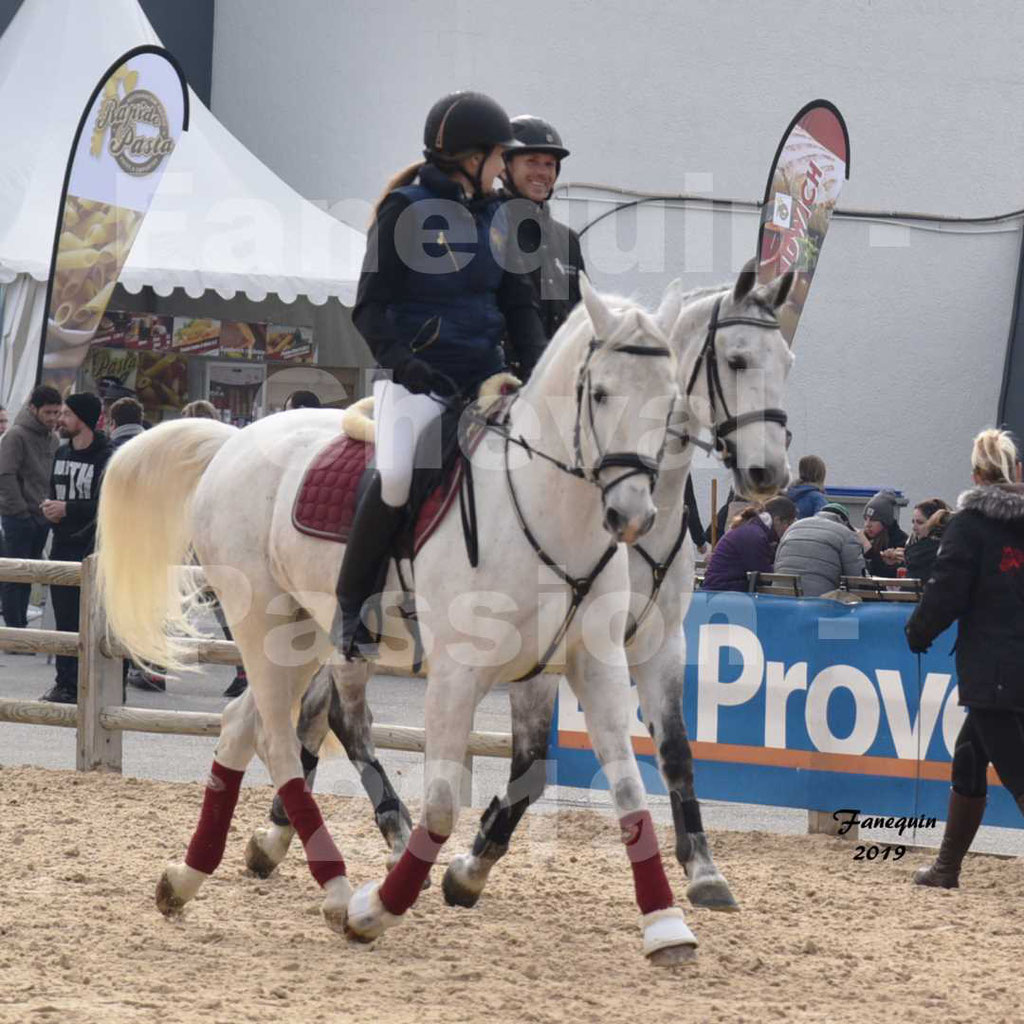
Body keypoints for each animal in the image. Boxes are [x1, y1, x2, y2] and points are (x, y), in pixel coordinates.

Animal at [96, 276, 704, 962]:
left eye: (672, 400)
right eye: (599, 393)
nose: (633, 516)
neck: (548, 514)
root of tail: (236, 440)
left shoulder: (591, 666)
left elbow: (626, 789)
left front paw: (666, 925)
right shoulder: (458, 677)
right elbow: (440, 808)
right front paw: (378, 908)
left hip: (306, 635)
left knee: (240, 726)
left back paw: (186, 876)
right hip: (263, 625)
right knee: (279, 741)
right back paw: (336, 889)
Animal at [243, 262, 794, 913]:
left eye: (786, 361)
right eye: (736, 360)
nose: (767, 474)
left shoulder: (649, 645)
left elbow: (666, 753)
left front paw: (704, 871)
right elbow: (534, 763)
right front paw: (465, 862)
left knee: (317, 713)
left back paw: (288, 835)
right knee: (325, 714)